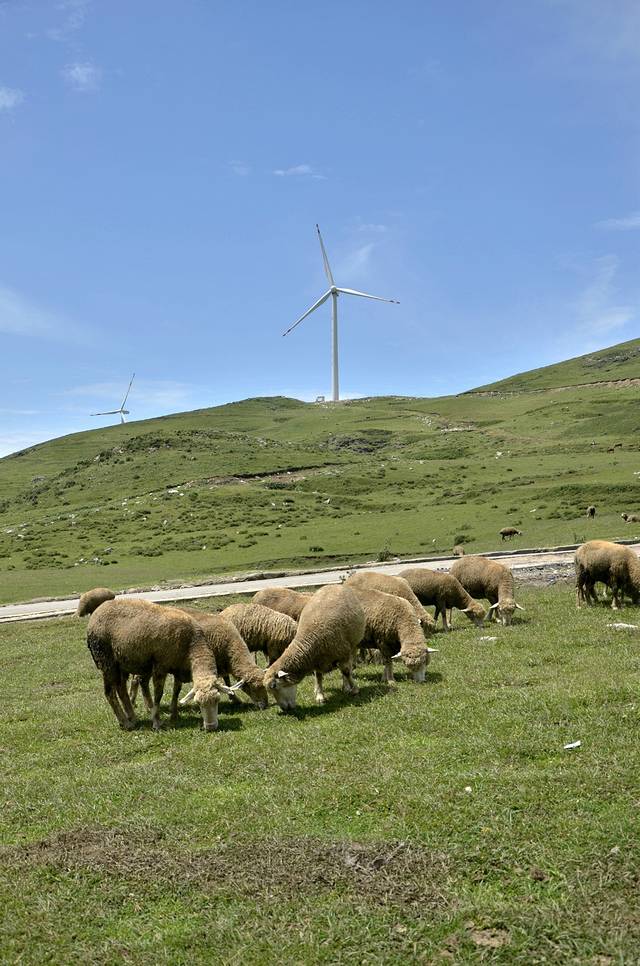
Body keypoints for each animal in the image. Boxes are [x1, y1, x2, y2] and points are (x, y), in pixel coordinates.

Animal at [87, 599, 235, 731]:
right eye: (198, 703)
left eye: (217, 700)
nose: (211, 727)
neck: (191, 643)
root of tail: (97, 612)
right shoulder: (160, 666)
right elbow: (158, 694)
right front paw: (156, 722)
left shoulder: (178, 668)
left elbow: (176, 690)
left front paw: (173, 714)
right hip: (106, 660)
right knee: (109, 692)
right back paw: (125, 722)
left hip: (121, 663)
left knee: (121, 689)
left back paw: (132, 718)